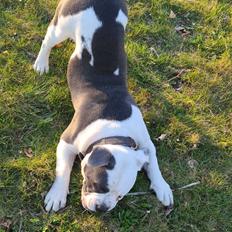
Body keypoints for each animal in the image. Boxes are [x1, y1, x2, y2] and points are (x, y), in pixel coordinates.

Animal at [33, 0, 173, 213]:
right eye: (97, 185)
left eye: (120, 196)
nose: (102, 208)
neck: (115, 131)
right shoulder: (67, 142)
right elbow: (63, 170)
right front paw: (57, 195)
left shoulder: (146, 144)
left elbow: (154, 162)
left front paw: (162, 186)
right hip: (62, 25)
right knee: (48, 41)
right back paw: (41, 63)